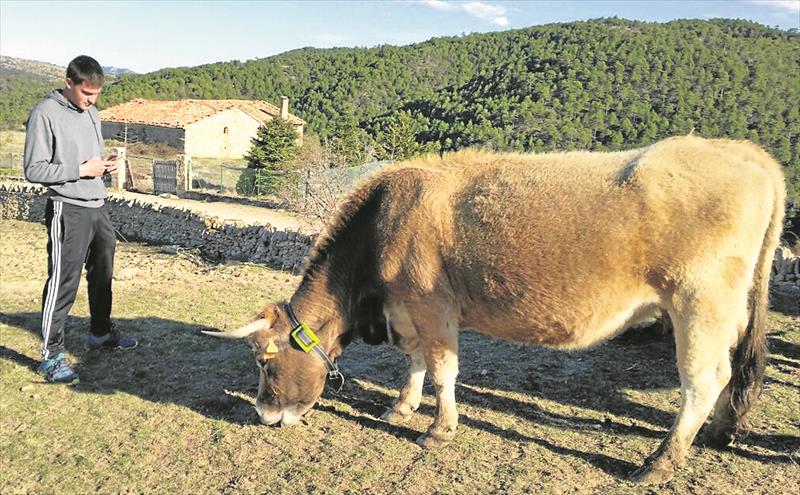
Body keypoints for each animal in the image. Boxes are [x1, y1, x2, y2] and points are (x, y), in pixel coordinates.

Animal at [204, 135, 786, 484]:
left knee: (704, 380)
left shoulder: (432, 306)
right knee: (730, 375)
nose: (262, 415)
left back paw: (660, 464)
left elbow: (443, 370)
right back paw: (717, 433)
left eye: (264, 362)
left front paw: (438, 429)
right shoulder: (408, 312)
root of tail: (741, 152)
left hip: (699, 304)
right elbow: (415, 363)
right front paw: (401, 407)